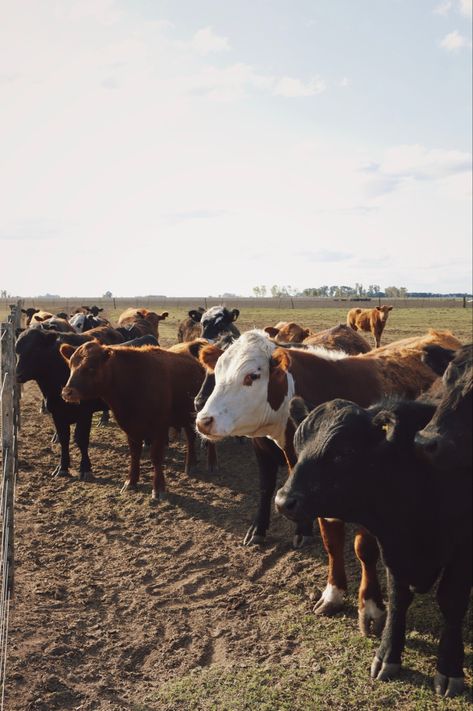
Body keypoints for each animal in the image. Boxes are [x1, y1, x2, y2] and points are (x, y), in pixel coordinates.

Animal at [60, 340, 210, 500]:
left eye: (91, 368)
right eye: (71, 365)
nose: (67, 392)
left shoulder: (160, 428)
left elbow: (156, 457)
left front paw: (158, 488)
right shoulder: (130, 428)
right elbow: (134, 454)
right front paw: (131, 481)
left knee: (191, 439)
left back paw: (193, 464)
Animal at [194, 328, 460, 636]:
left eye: (252, 376)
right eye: (217, 372)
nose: (203, 420)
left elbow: (364, 548)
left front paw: (371, 607)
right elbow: (331, 541)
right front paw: (333, 594)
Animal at [274, 394, 470, 700]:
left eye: (343, 452)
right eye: (298, 445)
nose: (283, 501)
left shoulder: (462, 547)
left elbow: (451, 601)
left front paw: (449, 667)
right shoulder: (393, 546)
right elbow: (398, 598)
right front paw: (387, 654)